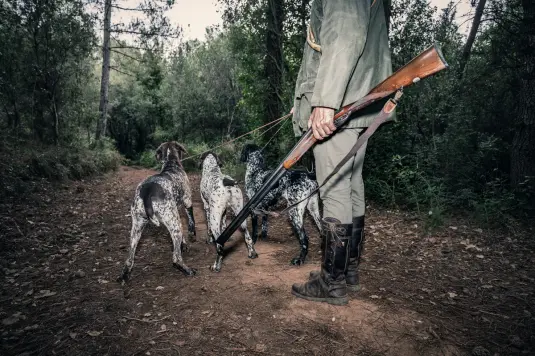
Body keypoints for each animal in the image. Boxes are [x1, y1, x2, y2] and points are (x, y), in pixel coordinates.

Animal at [118, 140, 198, 282]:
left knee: (129, 259)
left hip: (137, 229)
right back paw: (187, 269)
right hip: (173, 224)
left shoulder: (176, 215)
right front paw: (191, 235)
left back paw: (125, 275)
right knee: (176, 258)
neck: (171, 164)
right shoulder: (187, 202)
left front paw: (183, 244)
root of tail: (147, 191)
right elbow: (191, 222)